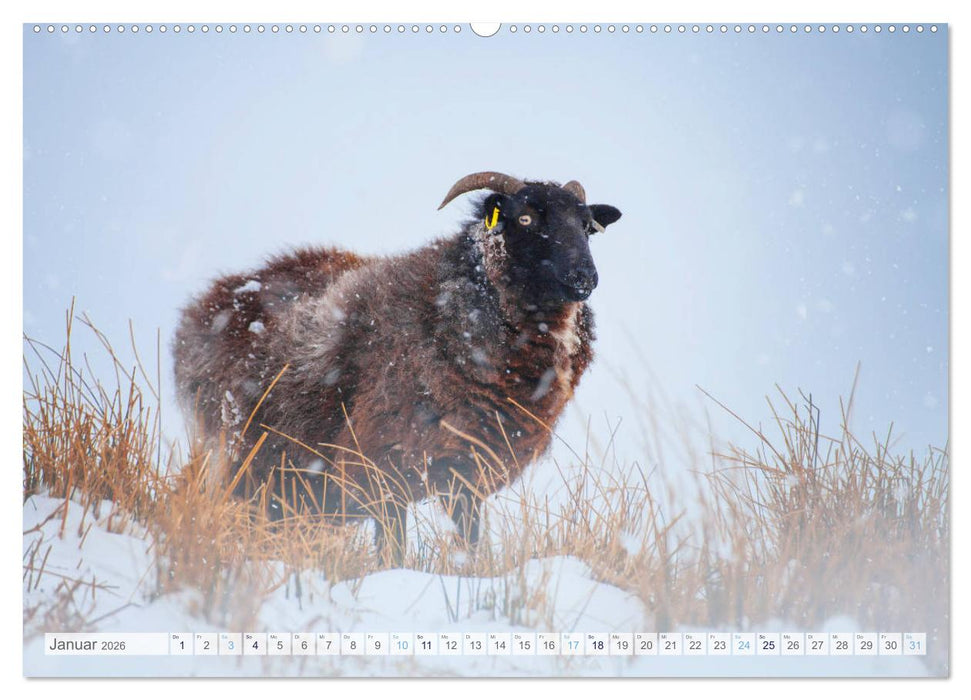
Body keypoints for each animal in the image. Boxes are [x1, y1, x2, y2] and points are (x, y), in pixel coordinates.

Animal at [173, 171, 622, 565]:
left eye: (587, 226)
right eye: (526, 218)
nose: (585, 277)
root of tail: (207, 304)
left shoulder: (467, 473)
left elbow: (471, 541)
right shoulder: (382, 468)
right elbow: (392, 550)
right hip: (241, 453)